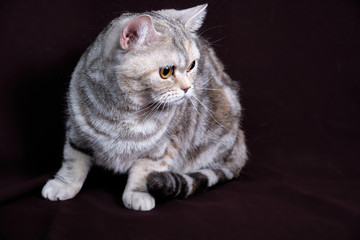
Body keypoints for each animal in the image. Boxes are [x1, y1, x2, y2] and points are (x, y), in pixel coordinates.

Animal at [40, 3, 246, 210]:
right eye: (166, 72)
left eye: (192, 66)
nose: (188, 88)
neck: (124, 113)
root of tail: (239, 145)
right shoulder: (76, 130)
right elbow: (73, 160)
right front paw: (64, 184)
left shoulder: (164, 146)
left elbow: (145, 170)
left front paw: (137, 194)